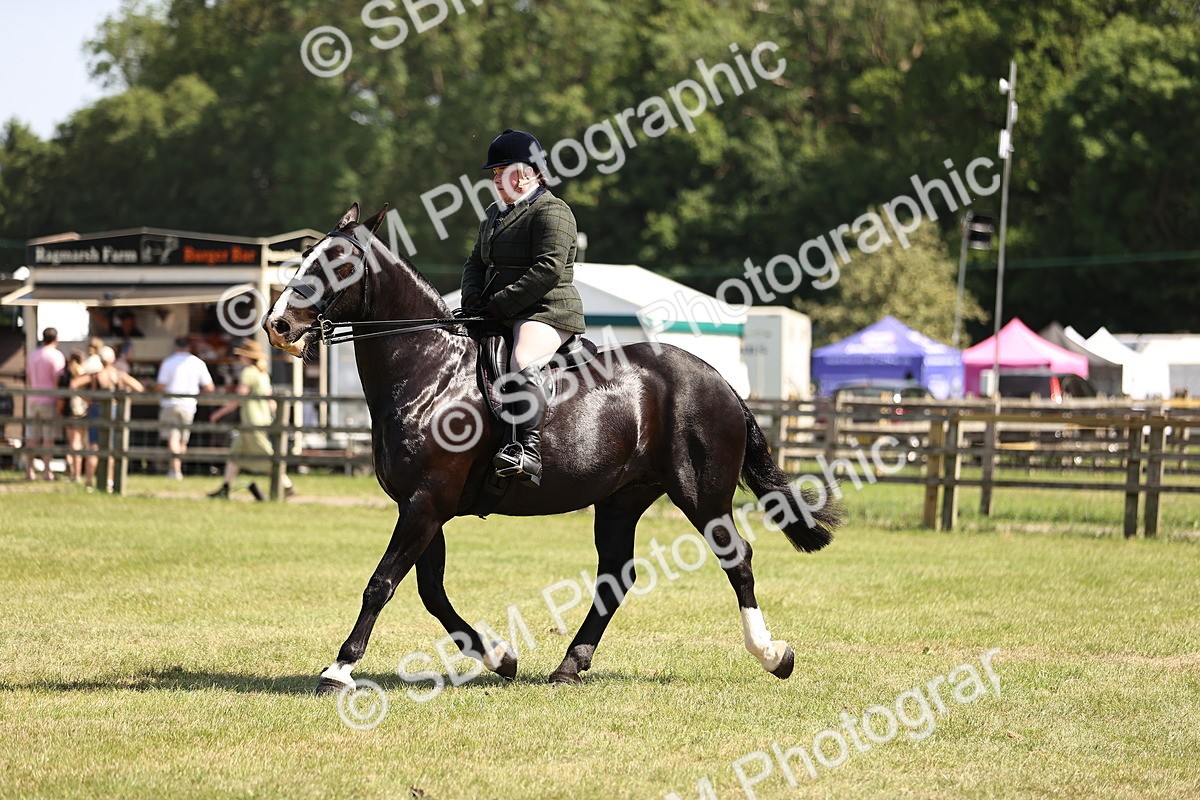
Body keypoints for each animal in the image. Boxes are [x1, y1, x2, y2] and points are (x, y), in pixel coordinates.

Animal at [263, 203, 841, 695]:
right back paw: (569, 665)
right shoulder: (423, 505)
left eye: (337, 263)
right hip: (622, 498)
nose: (278, 325)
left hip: (701, 493)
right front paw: (500, 657)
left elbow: (382, 583)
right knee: (616, 575)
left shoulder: (426, 502)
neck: (430, 370)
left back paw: (773, 655)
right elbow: (430, 590)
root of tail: (719, 379)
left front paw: (338, 668)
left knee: (736, 558)